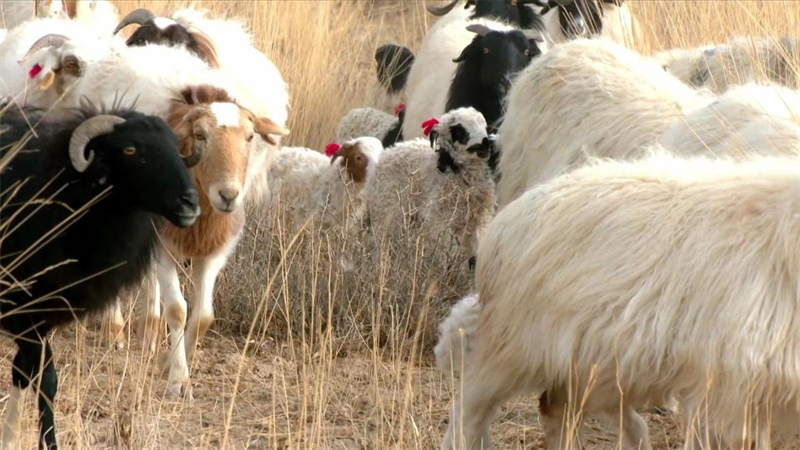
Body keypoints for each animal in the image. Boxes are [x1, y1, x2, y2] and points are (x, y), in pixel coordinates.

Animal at [0, 102, 200, 450]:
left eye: (176, 147)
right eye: (131, 149)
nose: (190, 203)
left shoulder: (41, 316)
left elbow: (23, 373)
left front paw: (10, 437)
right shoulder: (24, 311)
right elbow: (46, 380)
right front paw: (48, 443)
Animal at [360, 106, 494, 268]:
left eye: (484, 125)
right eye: (458, 130)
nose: (485, 143)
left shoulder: (476, 221)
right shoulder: (439, 219)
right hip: (387, 211)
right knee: (381, 242)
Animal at [438, 149, 800, 448]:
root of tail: (503, 223)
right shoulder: (732, 388)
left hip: (594, 362)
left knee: (560, 412)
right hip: (512, 349)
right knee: (468, 410)